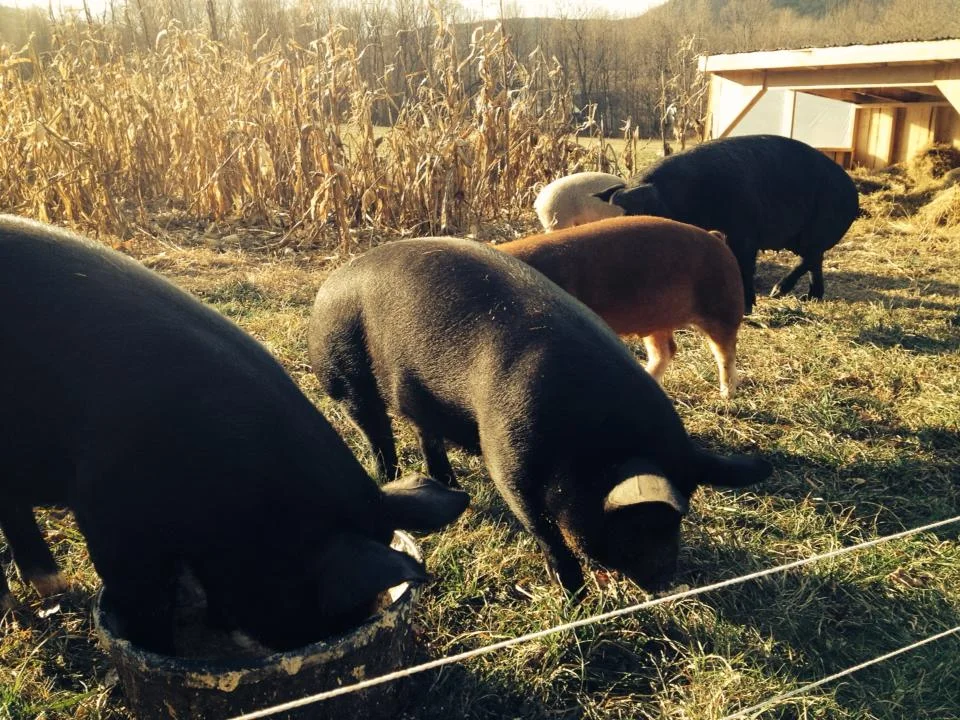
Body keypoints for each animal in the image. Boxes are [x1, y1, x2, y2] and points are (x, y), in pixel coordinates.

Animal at [308, 237, 771, 593]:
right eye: (638, 527)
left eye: (677, 521)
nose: (665, 582)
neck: (592, 443)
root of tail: (330, 285)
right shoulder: (508, 460)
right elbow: (546, 531)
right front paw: (573, 593)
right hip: (344, 375)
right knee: (376, 433)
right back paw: (391, 476)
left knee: (425, 433)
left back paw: (451, 486)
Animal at [497, 216, 744, 398]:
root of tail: (716, 237)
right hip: (656, 320)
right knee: (666, 350)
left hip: (723, 308)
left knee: (726, 352)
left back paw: (726, 395)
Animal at [591, 135, 861, 314]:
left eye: (639, 216)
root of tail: (852, 190)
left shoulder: (744, 232)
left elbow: (744, 266)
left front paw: (746, 310)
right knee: (816, 261)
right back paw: (810, 299)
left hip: (815, 230)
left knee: (811, 257)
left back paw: (779, 292)